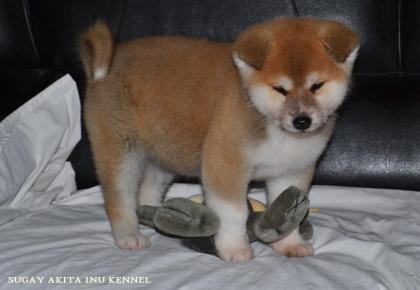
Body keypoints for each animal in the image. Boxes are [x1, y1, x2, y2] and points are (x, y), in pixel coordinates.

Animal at [81, 17, 358, 260]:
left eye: (317, 86)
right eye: (280, 89)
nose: (302, 121)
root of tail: (111, 59)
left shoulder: (290, 171)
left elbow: (290, 211)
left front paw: (289, 244)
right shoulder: (225, 164)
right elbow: (234, 213)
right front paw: (234, 248)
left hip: (163, 155)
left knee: (146, 191)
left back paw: (155, 216)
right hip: (119, 153)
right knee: (119, 199)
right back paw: (129, 234)